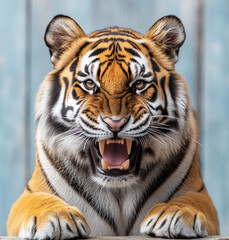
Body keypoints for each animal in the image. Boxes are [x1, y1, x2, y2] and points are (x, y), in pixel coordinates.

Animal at [6, 14, 220, 238]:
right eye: (90, 84)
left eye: (139, 84)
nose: (115, 122)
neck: (118, 189)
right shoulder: (31, 194)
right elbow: (39, 202)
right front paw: (56, 216)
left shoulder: (199, 193)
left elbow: (190, 200)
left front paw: (175, 213)